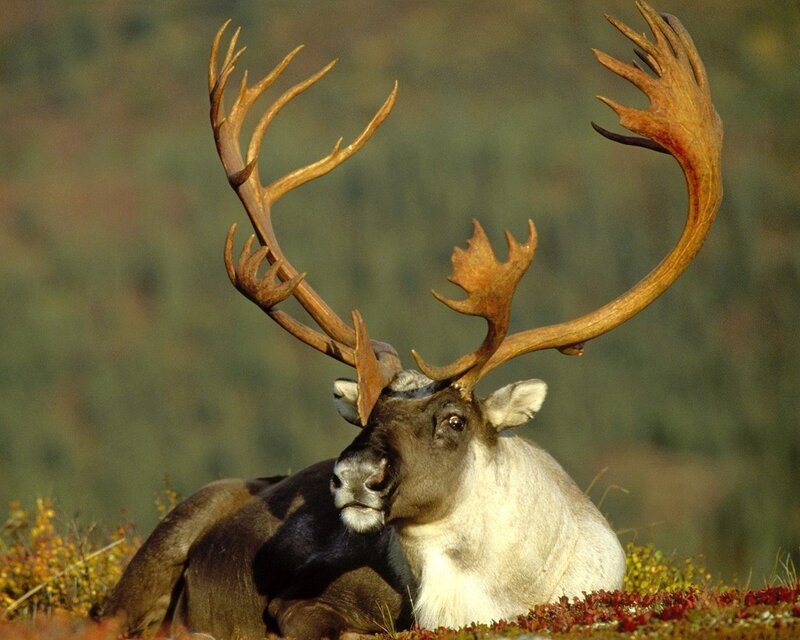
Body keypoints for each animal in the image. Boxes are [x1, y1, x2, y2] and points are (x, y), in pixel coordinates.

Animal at [96, 3, 722, 638]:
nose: (353, 476)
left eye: (454, 421)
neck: (488, 594)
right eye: (365, 415)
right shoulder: (299, 604)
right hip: (171, 531)